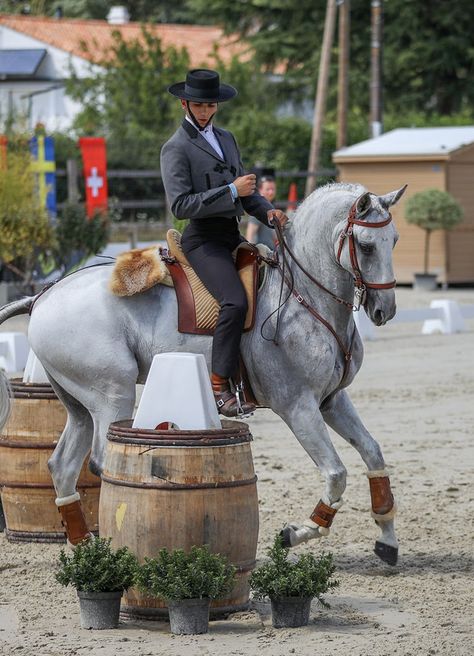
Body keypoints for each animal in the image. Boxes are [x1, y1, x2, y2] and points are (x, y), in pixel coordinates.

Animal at [0, 183, 408, 564]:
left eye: (394, 241)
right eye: (366, 246)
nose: (384, 310)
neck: (304, 297)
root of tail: (43, 296)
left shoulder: (331, 401)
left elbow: (373, 454)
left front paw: (387, 539)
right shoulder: (298, 407)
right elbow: (336, 473)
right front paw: (297, 532)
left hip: (79, 405)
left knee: (61, 466)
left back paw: (85, 548)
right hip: (112, 395)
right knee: (101, 462)